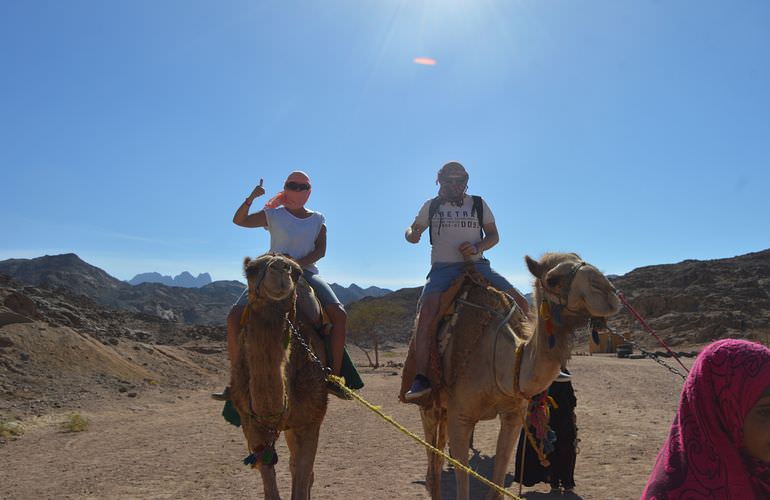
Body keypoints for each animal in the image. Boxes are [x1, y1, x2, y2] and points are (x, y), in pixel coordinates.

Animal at [231, 254, 330, 500]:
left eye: (297, 272)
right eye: (251, 269)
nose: (280, 268)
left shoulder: (310, 421)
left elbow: (302, 475)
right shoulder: (251, 423)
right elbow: (269, 483)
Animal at [400, 254, 620, 500]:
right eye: (552, 280)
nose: (607, 291)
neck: (499, 361)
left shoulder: (513, 415)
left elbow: (496, 487)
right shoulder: (461, 417)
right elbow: (462, 485)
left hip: (445, 410)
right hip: (428, 404)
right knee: (433, 467)